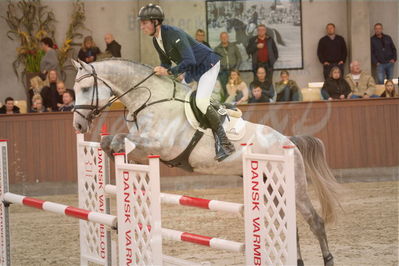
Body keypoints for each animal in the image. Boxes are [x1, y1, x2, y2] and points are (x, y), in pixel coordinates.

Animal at [72, 58, 340, 266]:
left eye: (85, 88)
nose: (78, 125)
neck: (150, 99)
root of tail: (288, 141)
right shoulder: (143, 147)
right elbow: (110, 142)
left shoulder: (159, 145)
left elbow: (119, 139)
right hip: (273, 188)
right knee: (290, 223)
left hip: (292, 185)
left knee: (315, 221)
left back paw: (328, 259)